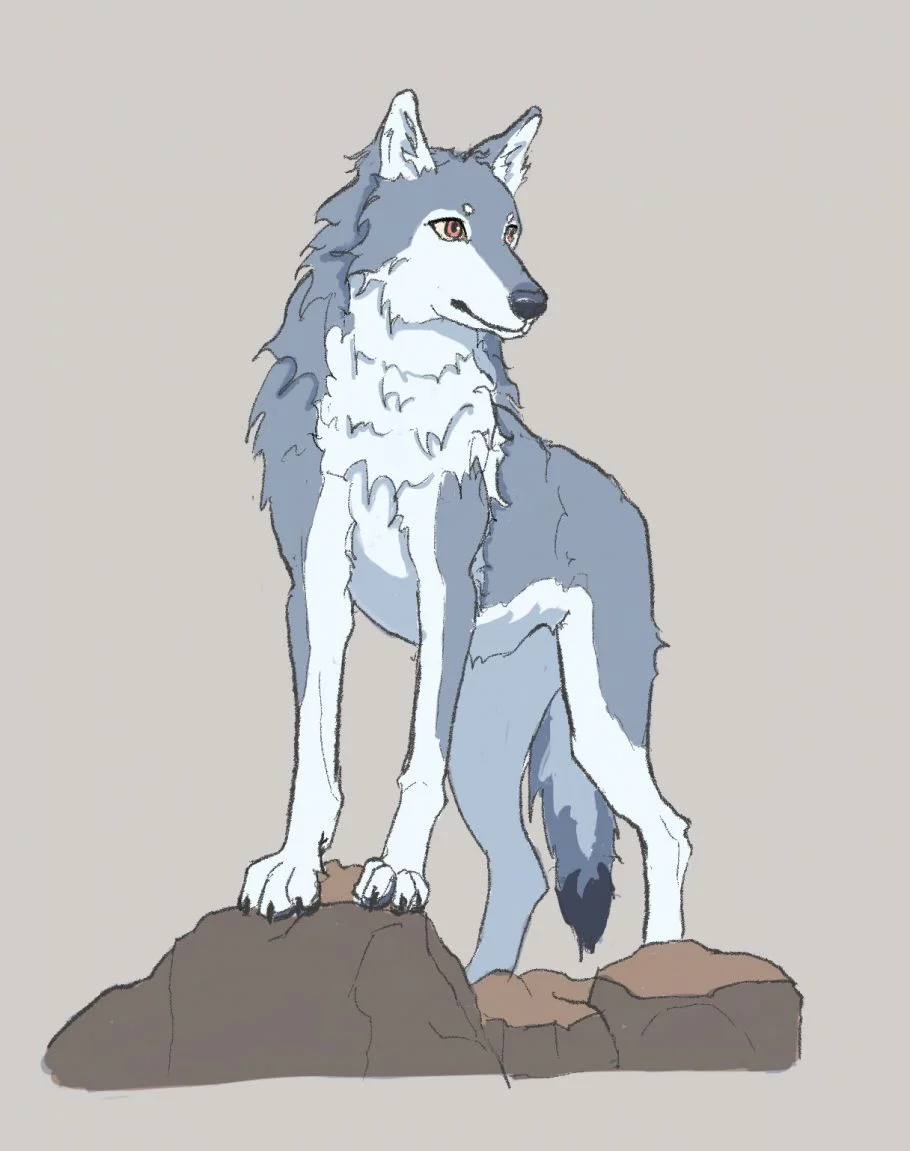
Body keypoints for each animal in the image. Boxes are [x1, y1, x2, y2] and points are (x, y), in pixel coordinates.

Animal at [240, 90, 692, 984]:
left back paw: (663, 959)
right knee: (524, 869)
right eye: (451, 227)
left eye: (511, 230)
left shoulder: (444, 588)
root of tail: (622, 500)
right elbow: (315, 756)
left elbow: (417, 763)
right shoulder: (315, 589)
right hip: (502, 741)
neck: (395, 396)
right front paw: (294, 870)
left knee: (669, 831)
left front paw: (396, 874)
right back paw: (485, 986)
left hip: (599, 723)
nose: (533, 301)